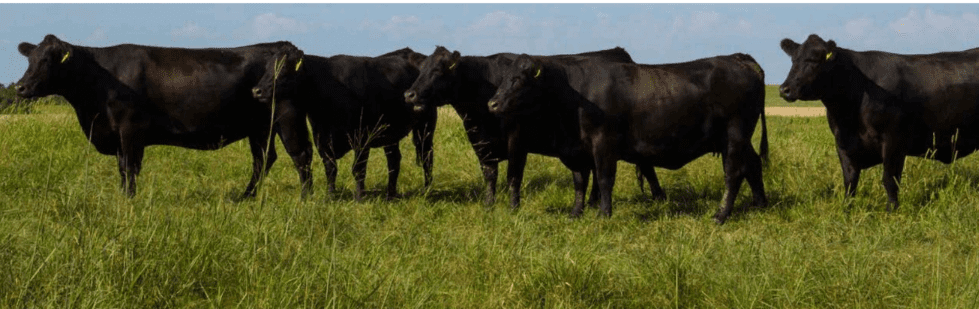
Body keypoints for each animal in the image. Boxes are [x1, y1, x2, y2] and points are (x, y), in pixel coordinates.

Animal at [16, 34, 314, 197]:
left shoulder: (130, 128)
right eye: (30, 59)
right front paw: (123, 195)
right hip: (260, 126)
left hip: (287, 117)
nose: (20, 87)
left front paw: (129, 199)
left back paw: (306, 198)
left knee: (300, 156)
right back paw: (246, 197)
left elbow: (129, 167)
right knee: (263, 159)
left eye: (47, 61)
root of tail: (283, 46)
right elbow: (122, 168)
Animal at [253, 45, 436, 200]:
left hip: (425, 127)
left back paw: (427, 190)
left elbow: (358, 169)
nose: (257, 90)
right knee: (394, 160)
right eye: (267, 67)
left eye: (283, 67)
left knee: (427, 157)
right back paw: (390, 194)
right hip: (390, 133)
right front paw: (330, 196)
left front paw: (359, 197)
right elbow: (330, 168)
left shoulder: (362, 137)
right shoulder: (322, 138)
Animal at [406, 45, 660, 209]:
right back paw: (592, 202)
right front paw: (488, 205)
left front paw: (513, 208)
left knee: (645, 166)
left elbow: (513, 176)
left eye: (437, 71)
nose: (409, 94)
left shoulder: (517, 139)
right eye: (420, 70)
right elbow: (489, 175)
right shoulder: (481, 142)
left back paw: (658, 199)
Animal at [486, 52, 768, 221]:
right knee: (753, 166)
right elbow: (579, 182)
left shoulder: (603, 143)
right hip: (741, 139)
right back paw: (760, 204)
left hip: (734, 135)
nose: (492, 104)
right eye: (503, 78)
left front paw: (604, 214)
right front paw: (575, 213)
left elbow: (604, 179)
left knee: (733, 173)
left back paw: (721, 215)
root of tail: (738, 59)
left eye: (519, 79)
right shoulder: (577, 149)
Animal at [784, 34, 979, 209]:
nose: (785, 89)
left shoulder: (893, 140)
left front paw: (892, 211)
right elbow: (850, 180)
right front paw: (846, 209)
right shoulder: (842, 143)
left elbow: (889, 179)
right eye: (793, 60)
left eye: (814, 60)